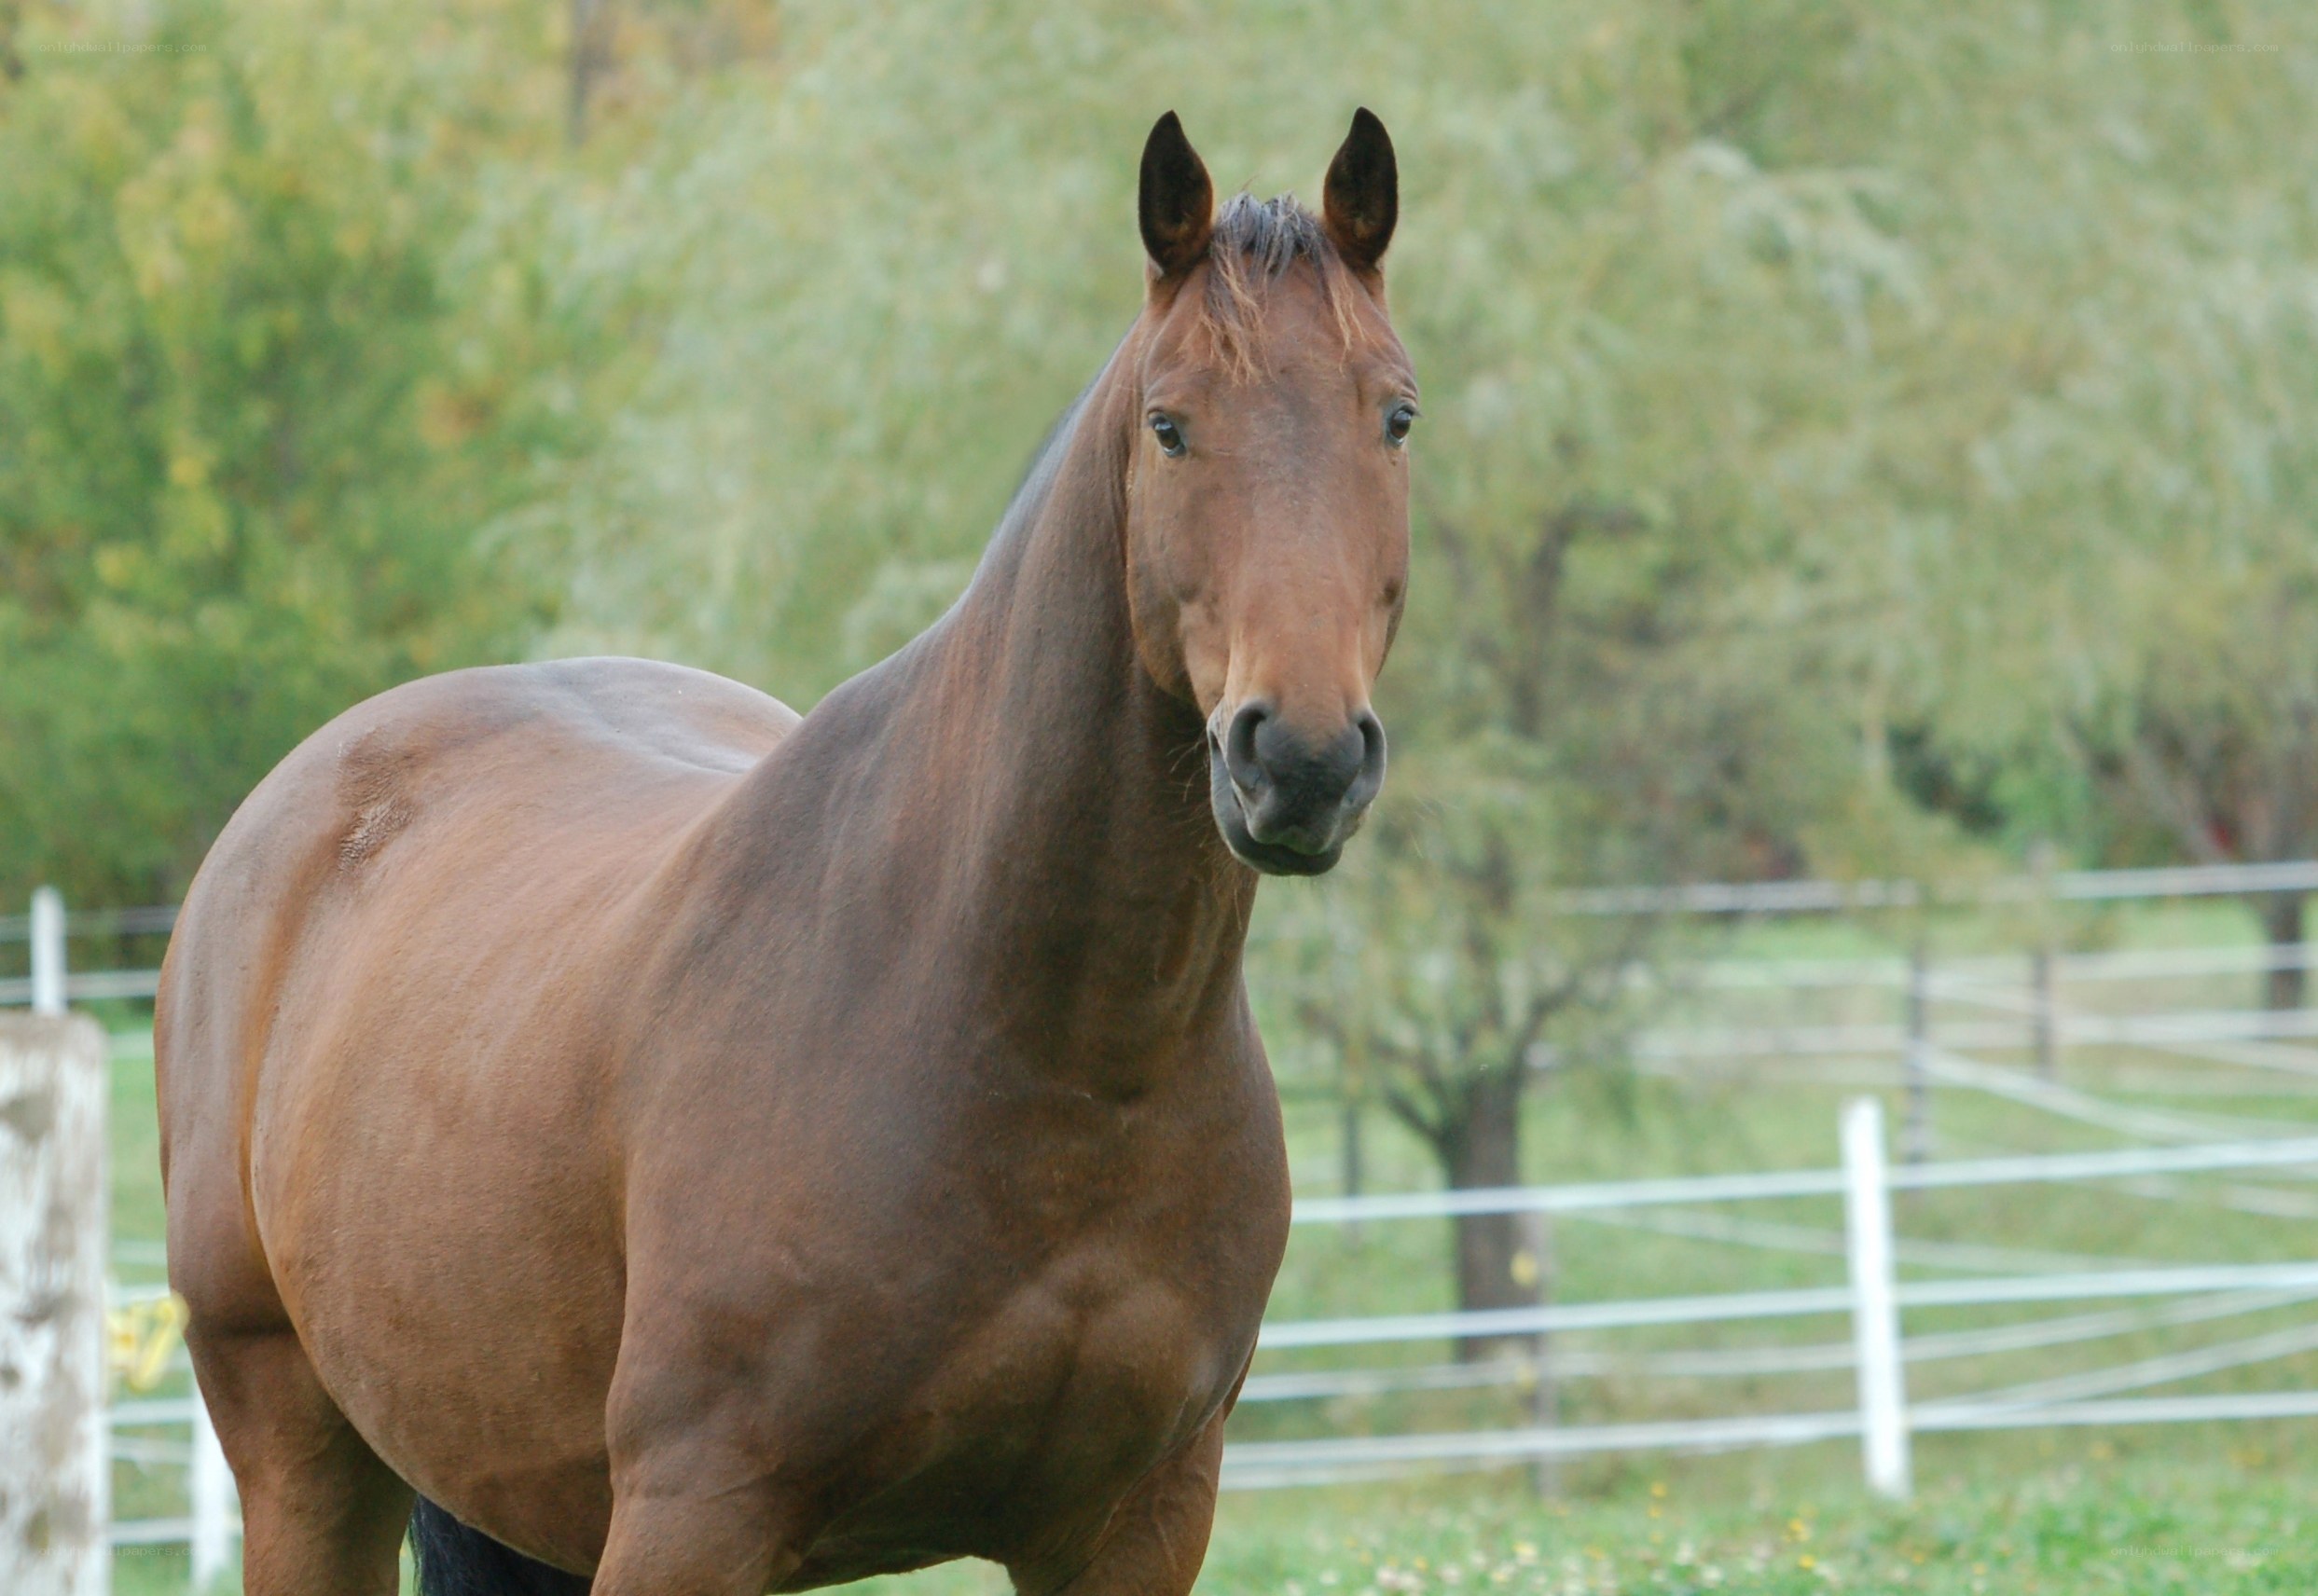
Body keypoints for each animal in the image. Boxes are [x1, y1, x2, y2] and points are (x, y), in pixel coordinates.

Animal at [155, 108, 1414, 1596]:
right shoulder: (695, 1509)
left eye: (1394, 415)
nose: (1302, 759)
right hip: (304, 1450)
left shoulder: (1138, 1521)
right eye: (1170, 426)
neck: (1047, 1051)